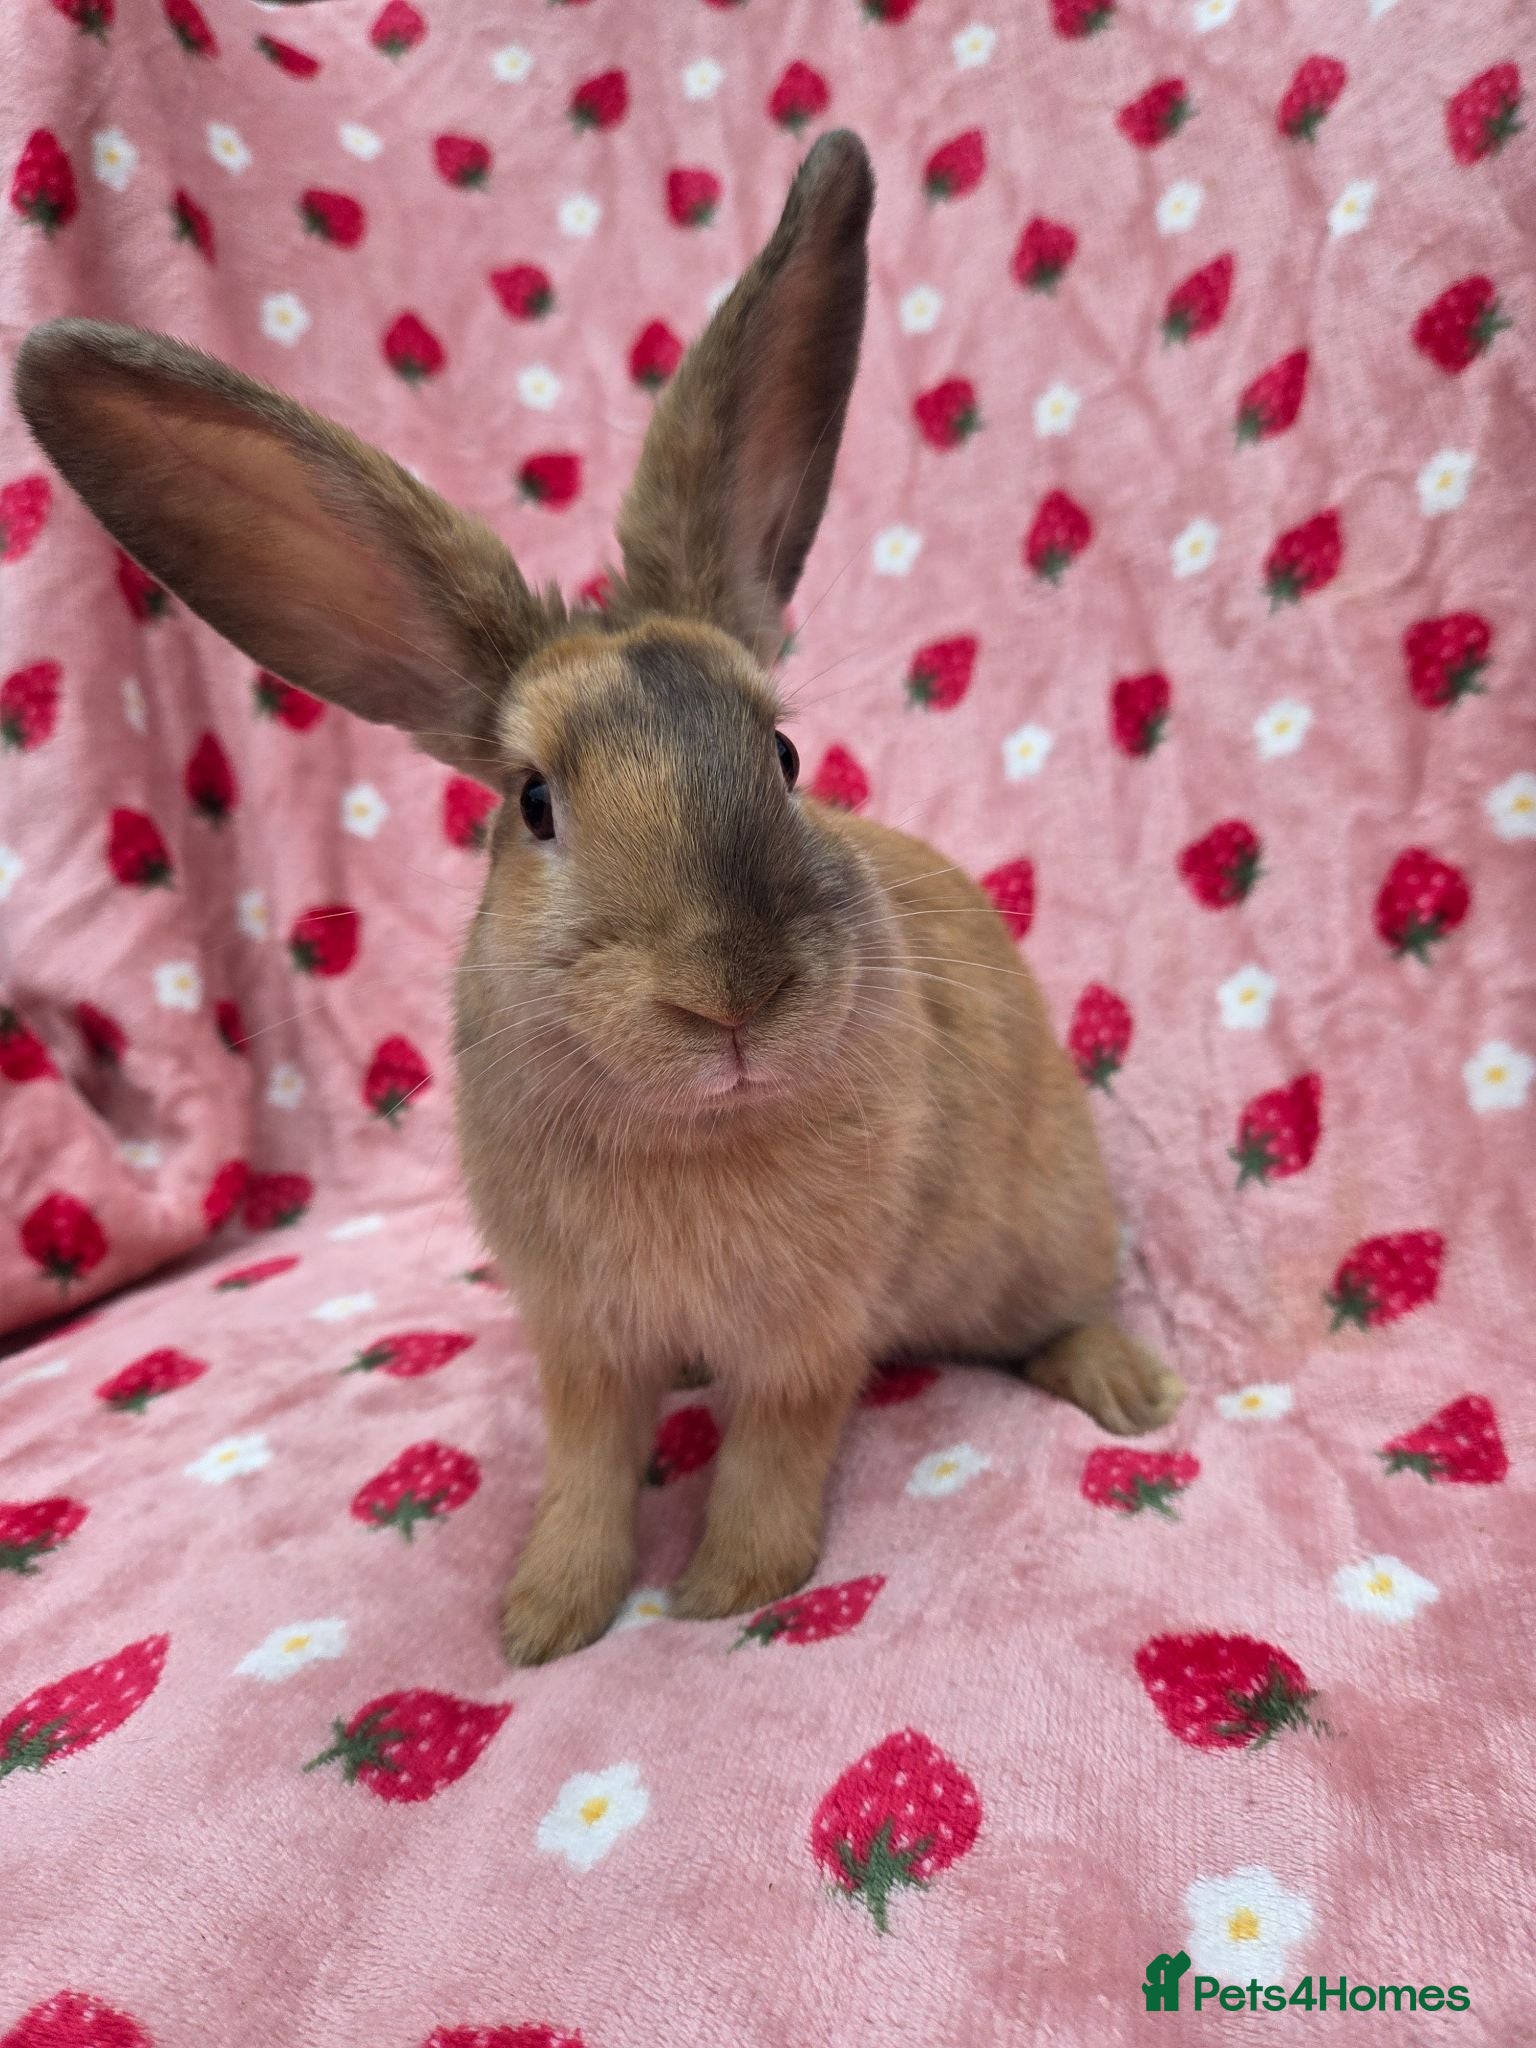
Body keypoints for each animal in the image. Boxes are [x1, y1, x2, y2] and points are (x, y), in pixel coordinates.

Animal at [15, 130, 1182, 1666]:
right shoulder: (580, 1337)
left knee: (1060, 1315)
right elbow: (583, 1469)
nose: (730, 995)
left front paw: (724, 1594)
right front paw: (544, 1619)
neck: (694, 1132)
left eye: (783, 754)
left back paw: (1133, 1391)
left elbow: (773, 1453)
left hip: (1041, 1234)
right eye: (533, 805)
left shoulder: (808, 1337)